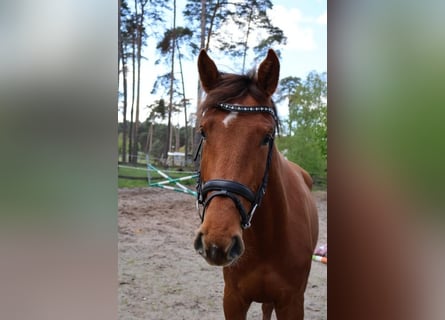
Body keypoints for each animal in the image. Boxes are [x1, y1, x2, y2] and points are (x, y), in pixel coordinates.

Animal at [193, 48, 318, 318]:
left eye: (267, 137)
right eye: (203, 132)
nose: (218, 241)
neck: (266, 241)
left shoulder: (292, 302)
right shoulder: (233, 300)